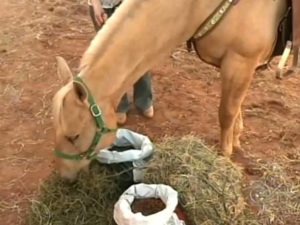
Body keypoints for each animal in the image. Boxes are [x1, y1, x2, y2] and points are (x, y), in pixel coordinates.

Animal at [52, 0, 288, 179]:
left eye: (74, 136)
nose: (65, 177)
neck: (196, 7)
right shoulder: (239, 66)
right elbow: (236, 106)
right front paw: (236, 139)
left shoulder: (240, 62)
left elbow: (227, 113)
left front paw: (224, 158)